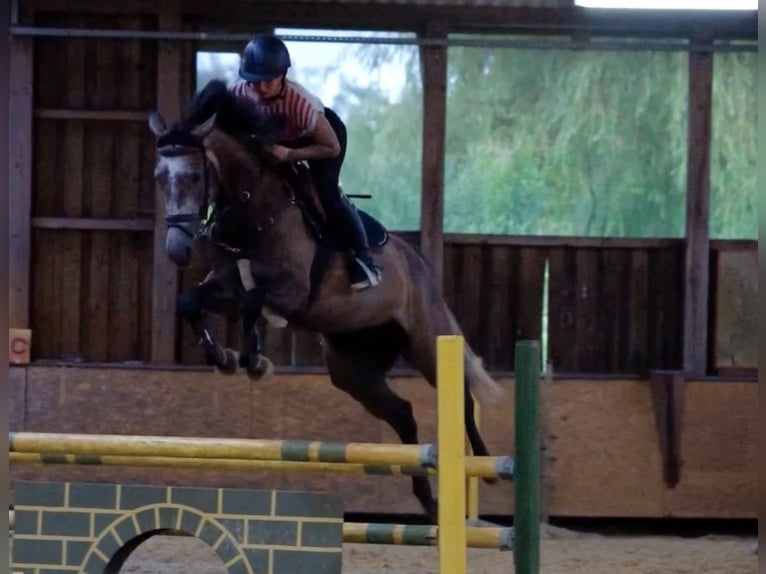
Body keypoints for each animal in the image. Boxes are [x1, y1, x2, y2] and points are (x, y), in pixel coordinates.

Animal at [149, 80, 504, 520]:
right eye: (159, 178)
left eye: (195, 176)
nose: (177, 250)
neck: (252, 205)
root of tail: (419, 264)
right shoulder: (227, 286)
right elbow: (191, 303)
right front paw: (226, 359)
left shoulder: (292, 292)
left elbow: (253, 305)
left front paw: (252, 361)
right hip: (352, 368)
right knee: (403, 414)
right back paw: (428, 501)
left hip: (428, 342)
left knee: (462, 399)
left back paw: (486, 466)